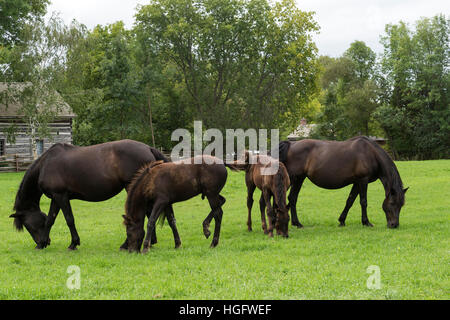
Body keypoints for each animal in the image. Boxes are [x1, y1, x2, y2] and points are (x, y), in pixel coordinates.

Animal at [10, 139, 169, 250]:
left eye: (27, 225)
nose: (45, 242)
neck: (46, 164)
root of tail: (148, 148)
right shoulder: (56, 198)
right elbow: (50, 219)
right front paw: (43, 243)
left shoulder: (61, 196)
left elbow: (69, 219)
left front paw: (73, 243)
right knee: (149, 213)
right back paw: (150, 242)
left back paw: (127, 244)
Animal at [276, 136, 410, 229]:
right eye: (392, 203)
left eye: (401, 205)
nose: (394, 225)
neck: (371, 153)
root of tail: (291, 144)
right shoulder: (363, 180)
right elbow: (363, 202)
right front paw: (366, 222)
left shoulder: (357, 182)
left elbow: (350, 201)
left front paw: (342, 220)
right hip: (295, 178)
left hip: (298, 179)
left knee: (292, 198)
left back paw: (294, 223)